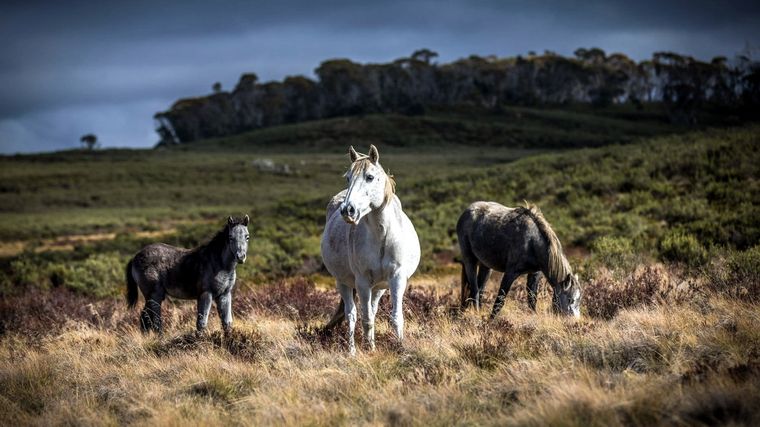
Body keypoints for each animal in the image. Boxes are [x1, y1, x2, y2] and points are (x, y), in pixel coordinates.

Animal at [321, 145, 421, 354]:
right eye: (348, 177)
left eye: (370, 177)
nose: (347, 210)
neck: (382, 236)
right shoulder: (362, 282)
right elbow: (365, 320)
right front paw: (369, 350)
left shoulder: (397, 279)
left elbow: (395, 317)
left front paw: (400, 348)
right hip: (344, 283)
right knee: (351, 315)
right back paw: (351, 351)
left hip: (379, 288)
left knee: (371, 311)